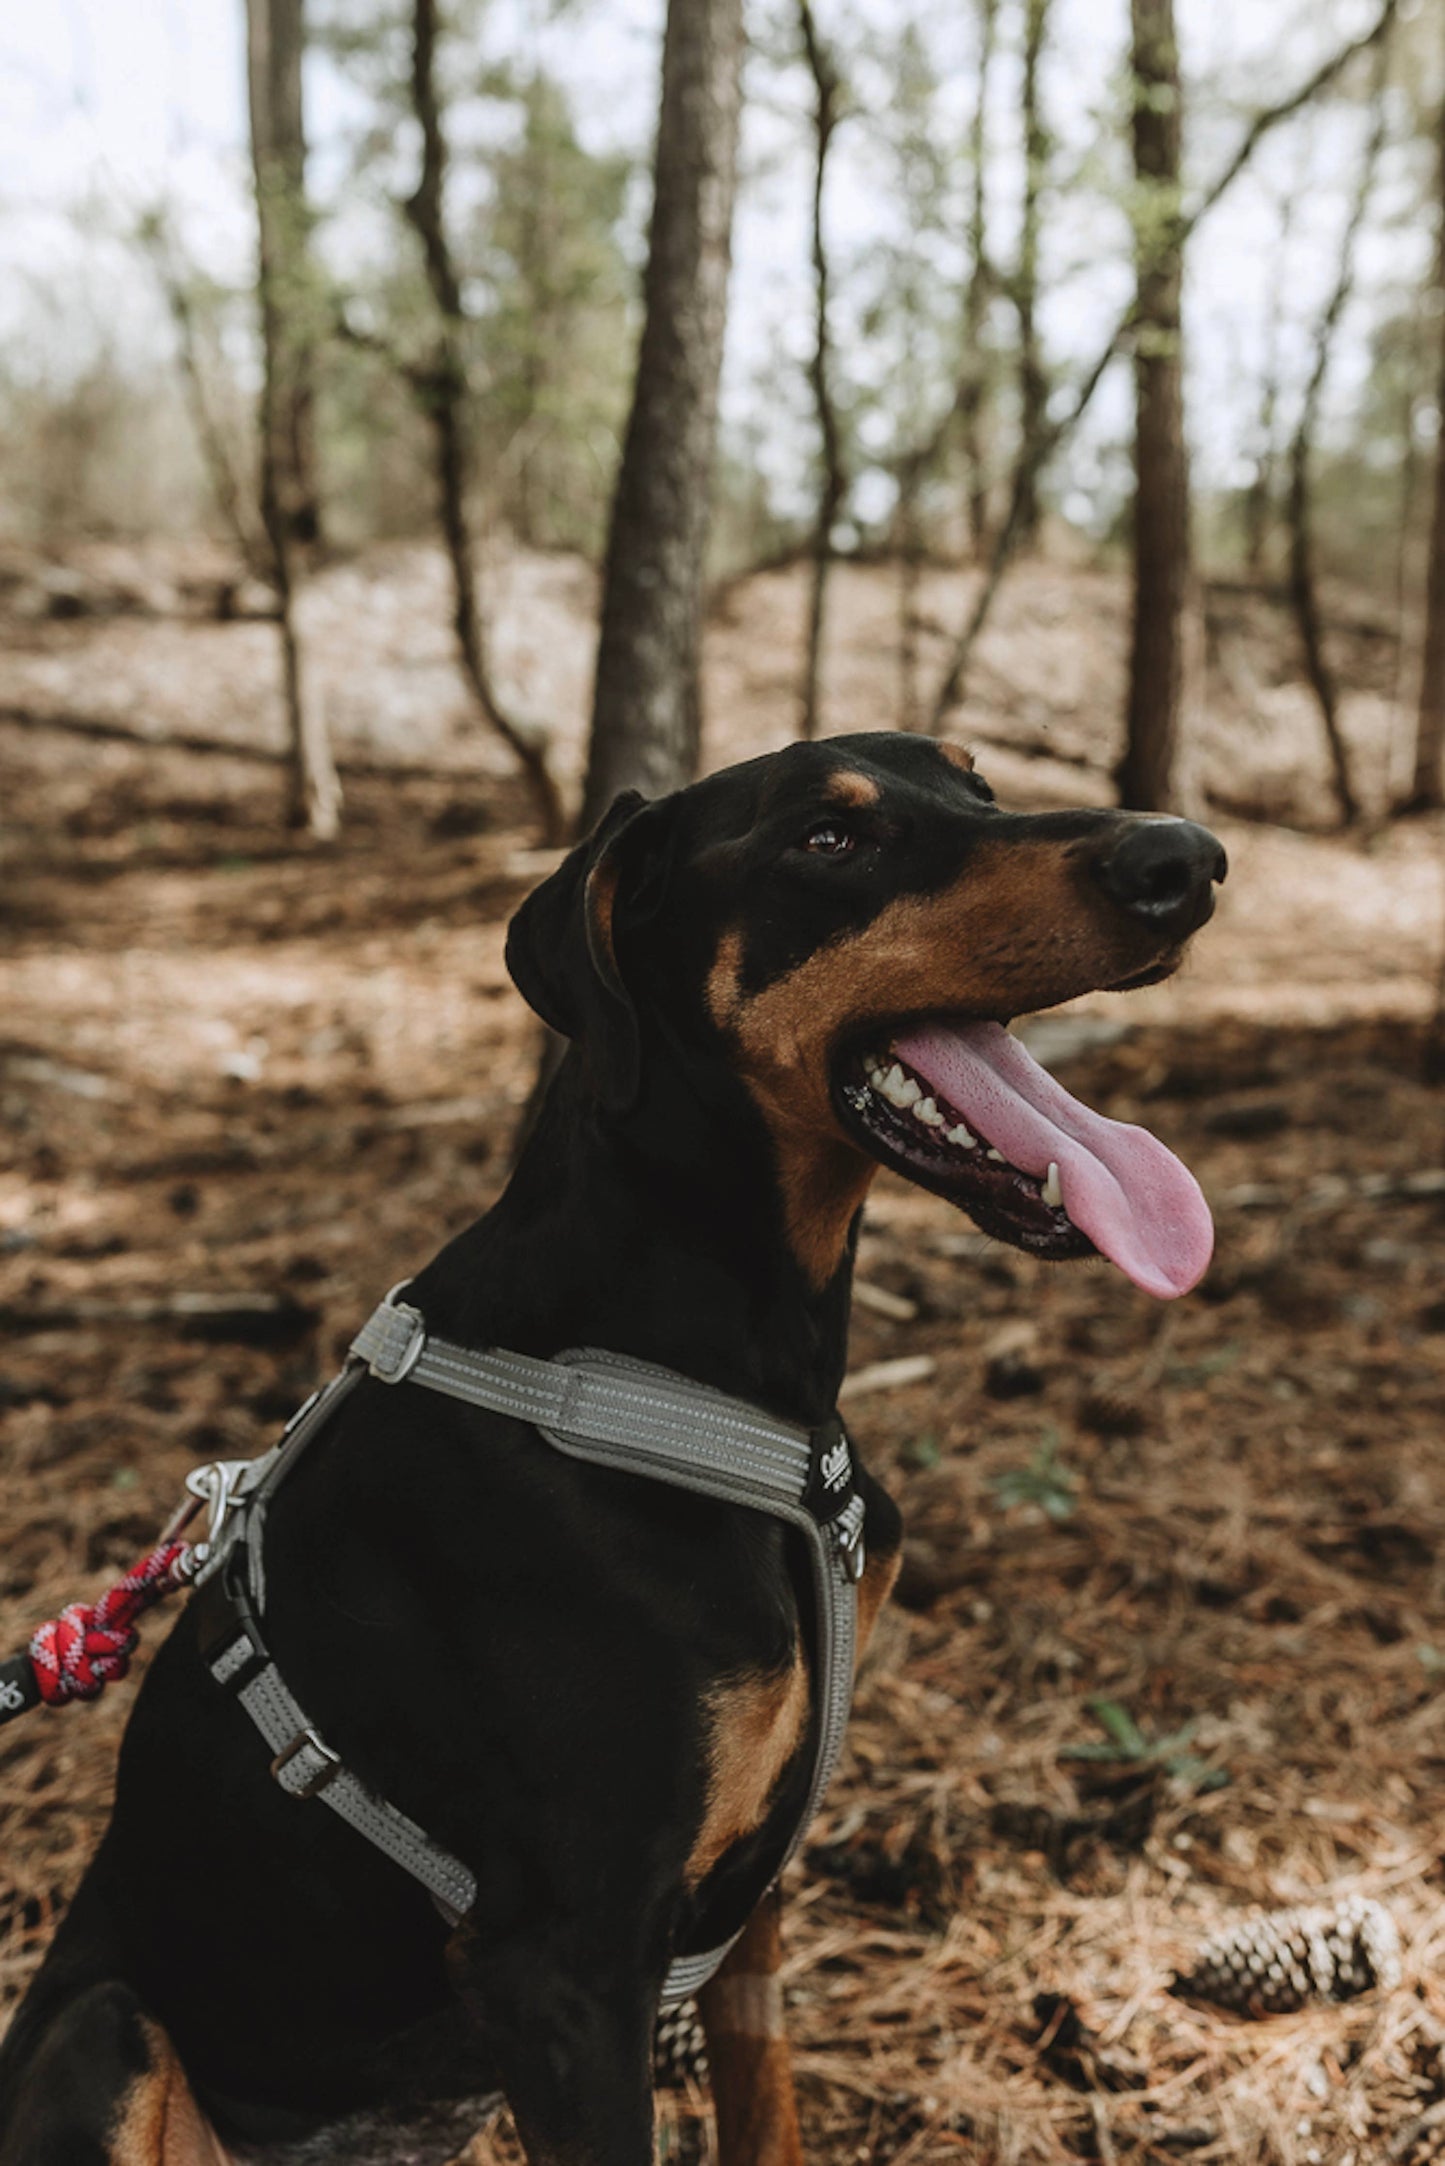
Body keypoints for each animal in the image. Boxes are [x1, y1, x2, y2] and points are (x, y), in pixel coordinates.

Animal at [0, 736, 1221, 2157]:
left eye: (977, 786)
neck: (712, 1376)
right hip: (108, 2032)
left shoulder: (745, 1899)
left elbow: (764, 2105)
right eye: (826, 839)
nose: (1184, 858)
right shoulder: (563, 1962)